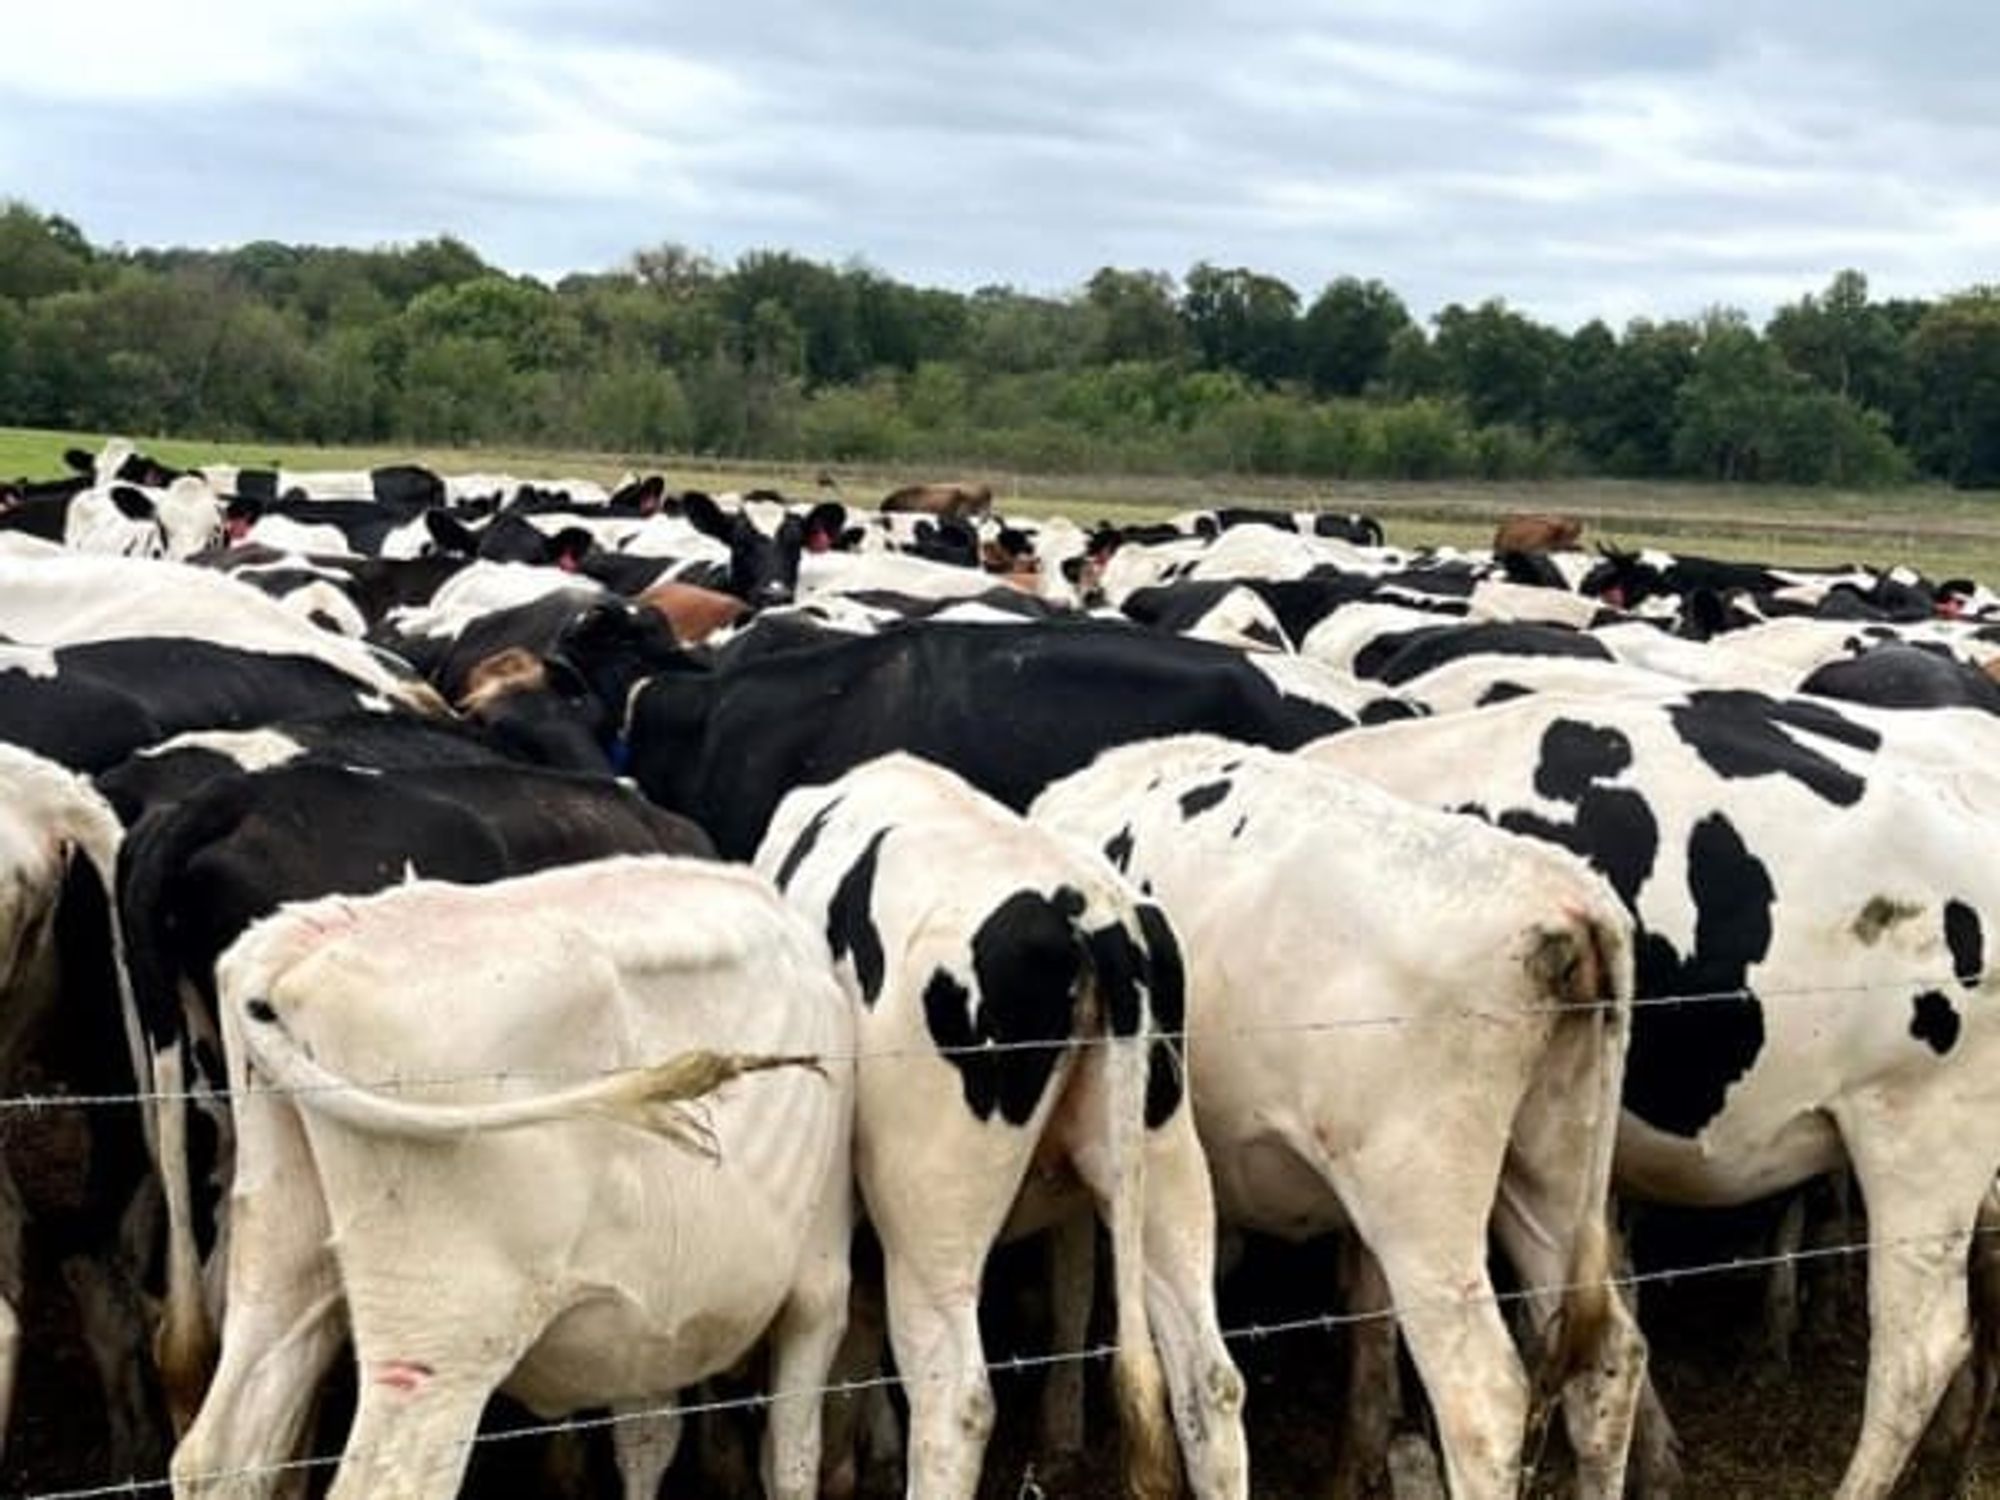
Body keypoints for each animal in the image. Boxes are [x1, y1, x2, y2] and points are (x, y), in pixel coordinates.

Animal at [175, 858, 853, 1500]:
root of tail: (292, 949)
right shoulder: (820, 1280)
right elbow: (791, 1455)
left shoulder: (646, 1325)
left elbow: (648, 1439)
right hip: (445, 1324)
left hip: (283, 1259)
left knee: (217, 1451)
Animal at [1031, 736, 1644, 1500]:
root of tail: (1568, 902)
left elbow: (1072, 1281)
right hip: (1552, 1171)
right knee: (1611, 1363)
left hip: (1422, 1210)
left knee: (1483, 1400)